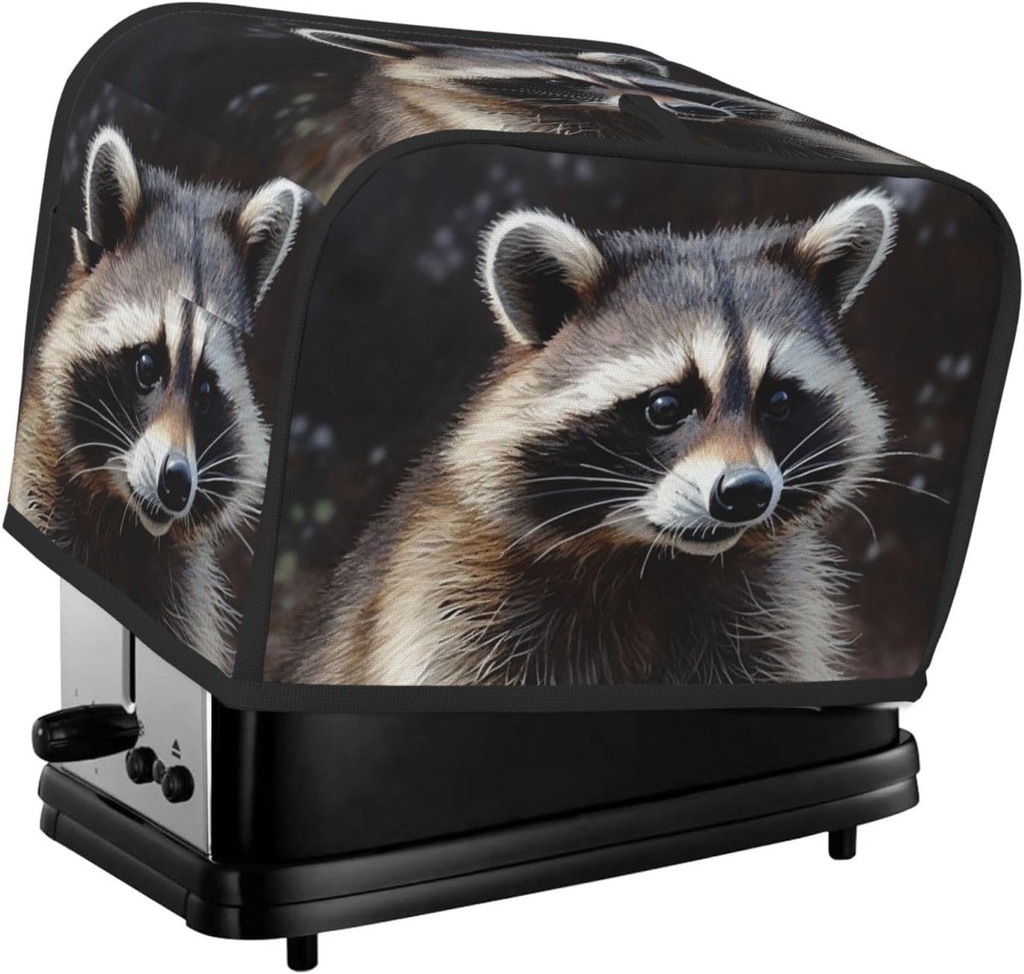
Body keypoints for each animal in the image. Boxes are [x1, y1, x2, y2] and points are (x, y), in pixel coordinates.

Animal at [287, 190, 897, 686]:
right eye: (665, 406)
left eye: (778, 403)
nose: (746, 491)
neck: (647, 558)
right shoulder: (451, 604)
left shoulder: (768, 617)